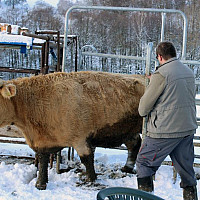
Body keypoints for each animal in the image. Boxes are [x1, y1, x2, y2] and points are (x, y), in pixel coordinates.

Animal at [0, 71, 145, 189]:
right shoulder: (42, 140)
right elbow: (42, 160)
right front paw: (40, 183)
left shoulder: (80, 139)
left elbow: (87, 159)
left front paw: (90, 179)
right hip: (128, 131)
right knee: (134, 144)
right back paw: (127, 168)